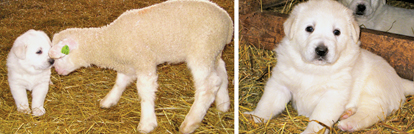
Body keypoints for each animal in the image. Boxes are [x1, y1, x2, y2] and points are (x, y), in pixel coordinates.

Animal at [48, 0, 233, 133]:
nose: (56, 71)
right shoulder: (129, 65)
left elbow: (144, 91)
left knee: (208, 85)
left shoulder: (144, 62)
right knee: (221, 74)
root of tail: (227, 21)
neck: (110, 41)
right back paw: (223, 105)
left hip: (201, 51)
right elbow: (120, 83)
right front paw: (109, 100)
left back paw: (190, 123)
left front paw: (147, 123)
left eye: (61, 55)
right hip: (214, 52)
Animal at [244, 0, 414, 133]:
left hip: (373, 90)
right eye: (309, 28)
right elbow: (267, 104)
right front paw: (254, 117)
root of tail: (399, 81)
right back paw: (347, 113)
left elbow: (319, 118)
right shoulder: (280, 84)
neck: (313, 69)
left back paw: (348, 123)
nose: (321, 50)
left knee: (373, 111)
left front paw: (310, 132)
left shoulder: (332, 95)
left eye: (336, 32)